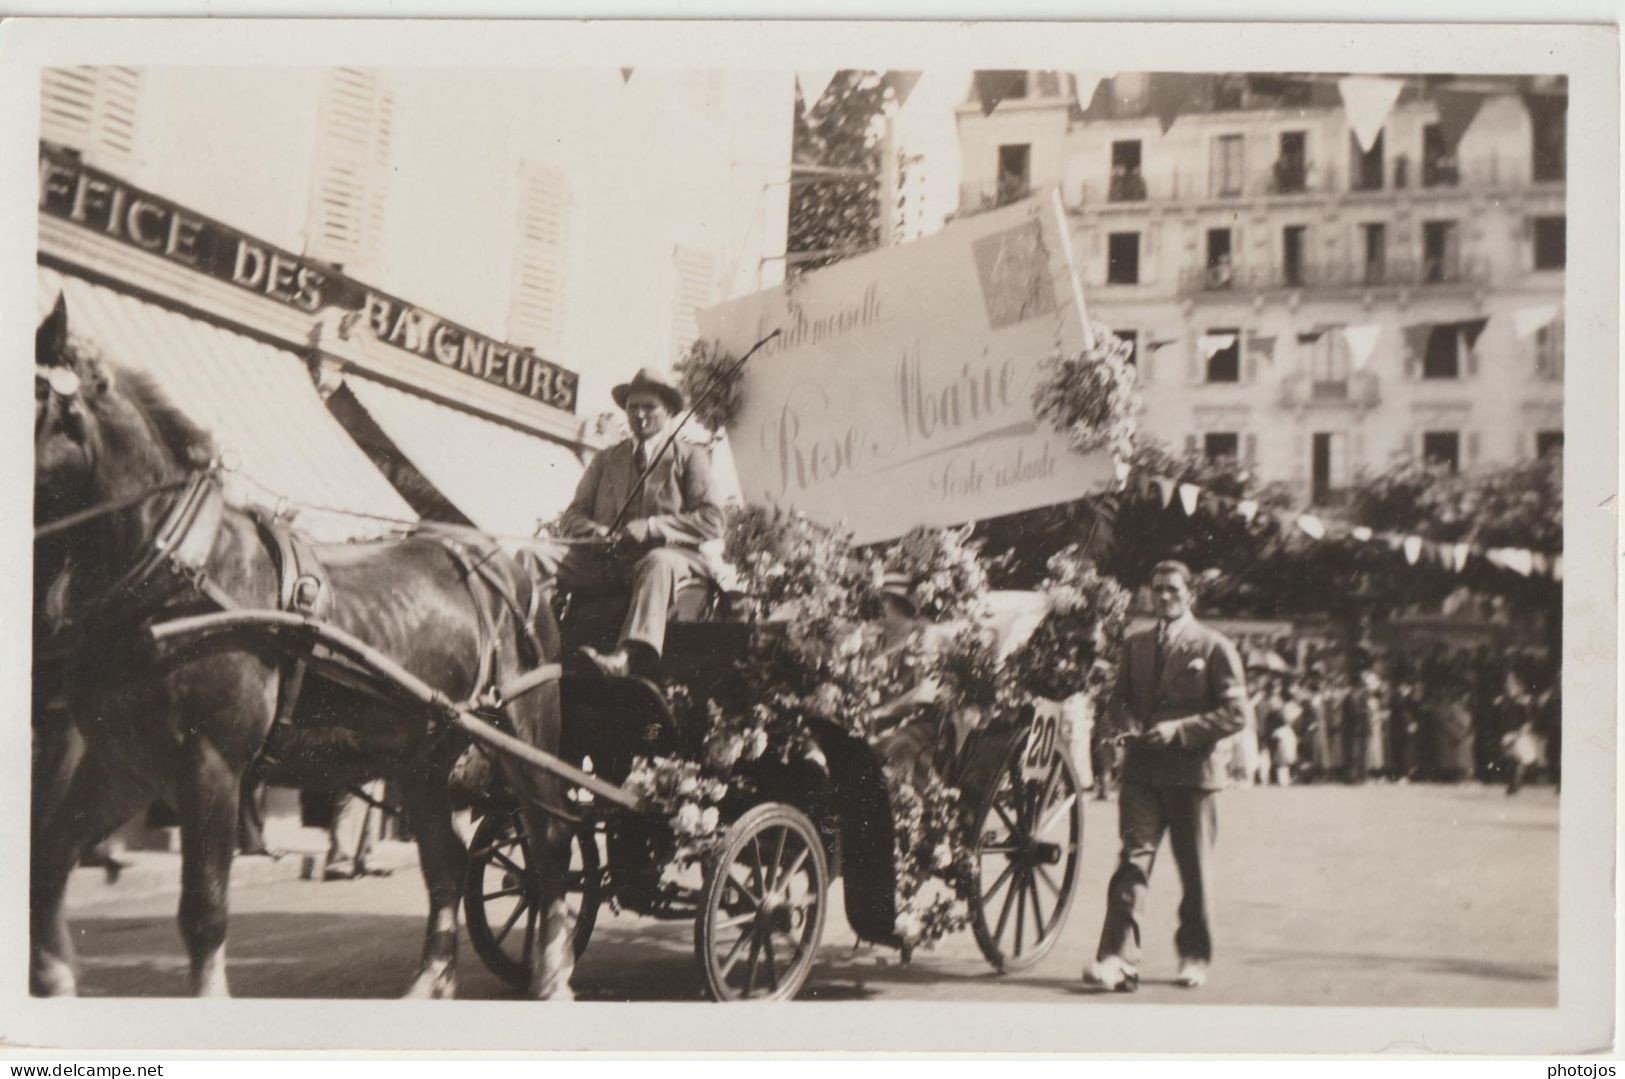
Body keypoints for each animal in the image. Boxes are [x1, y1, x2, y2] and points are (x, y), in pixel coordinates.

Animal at [30, 297, 578, 1001]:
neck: (182, 573)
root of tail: (516, 568)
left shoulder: (210, 766)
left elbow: (204, 908)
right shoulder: (125, 763)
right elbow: (49, 862)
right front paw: (52, 974)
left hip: (527, 735)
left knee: (552, 844)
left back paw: (552, 975)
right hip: (423, 758)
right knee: (448, 863)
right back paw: (431, 979)